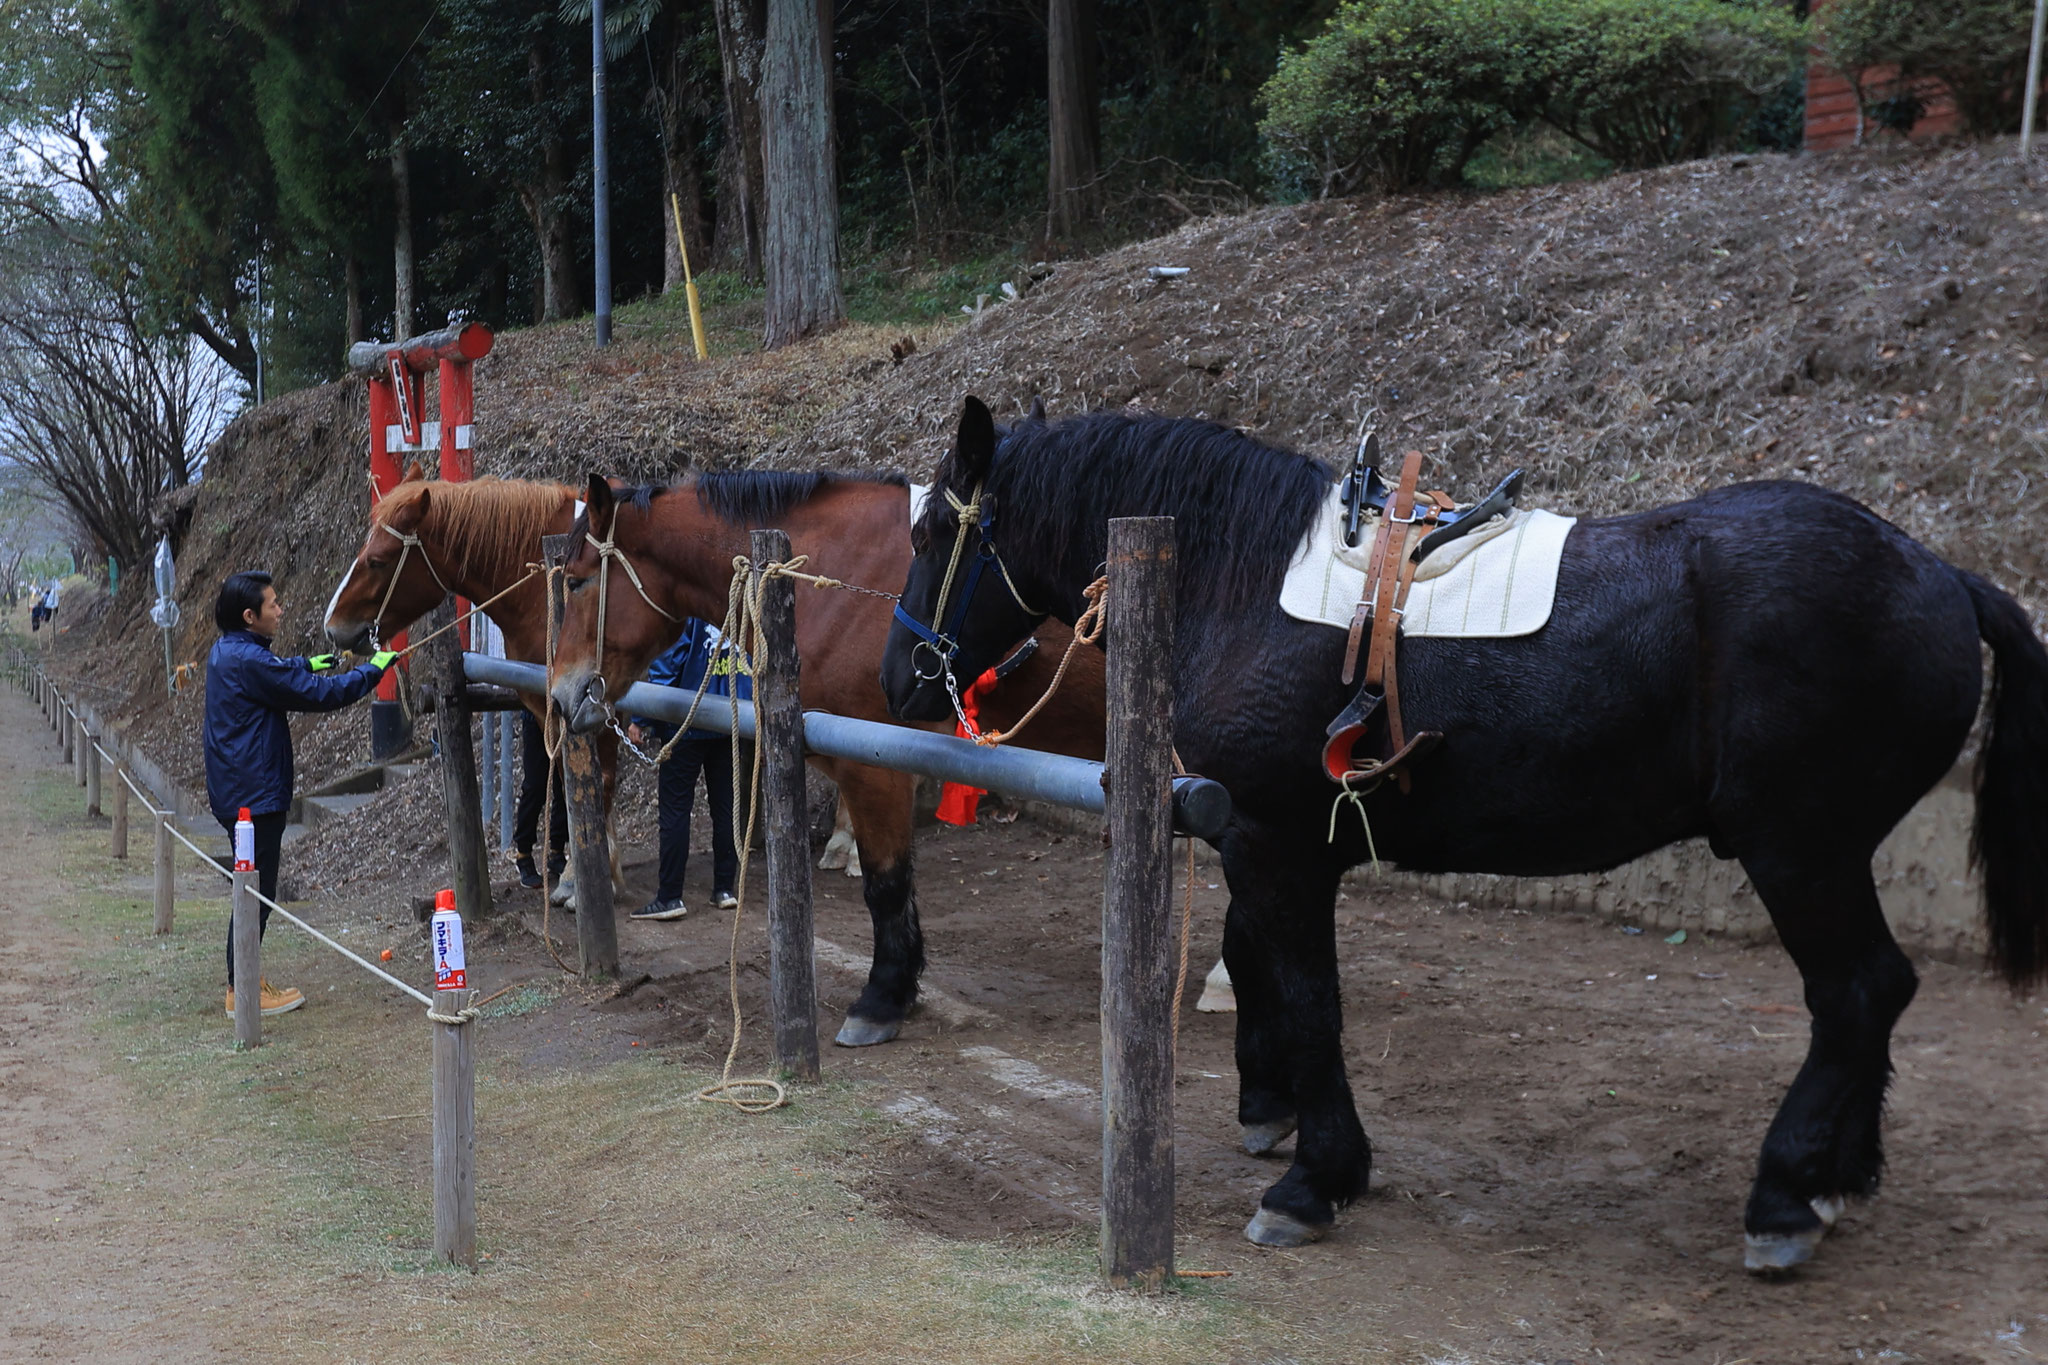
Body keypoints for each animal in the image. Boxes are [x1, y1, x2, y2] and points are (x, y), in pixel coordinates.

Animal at [542, 467, 1107, 1046]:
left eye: (576, 581)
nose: (561, 697)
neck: (834, 574)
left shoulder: (876, 767)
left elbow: (886, 884)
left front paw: (882, 998)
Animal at [879, 396, 2048, 1272]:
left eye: (935, 534)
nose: (901, 679)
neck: (1235, 576)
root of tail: (1941, 574)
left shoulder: (1274, 842)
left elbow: (1308, 995)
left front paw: (1313, 1179)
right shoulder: (1269, 842)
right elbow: (1258, 967)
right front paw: (1274, 1111)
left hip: (1799, 852)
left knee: (1855, 991)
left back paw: (1785, 1193)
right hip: (1828, 853)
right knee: (1872, 994)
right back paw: (1838, 1177)